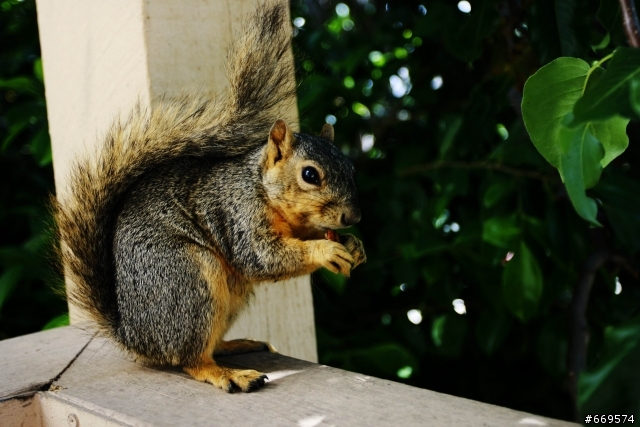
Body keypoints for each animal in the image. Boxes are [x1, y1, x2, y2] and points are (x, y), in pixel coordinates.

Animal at [53, 2, 366, 393]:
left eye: (351, 167)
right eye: (310, 175)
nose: (353, 218)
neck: (261, 188)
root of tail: (135, 337)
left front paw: (354, 245)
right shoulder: (238, 214)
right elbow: (263, 257)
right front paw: (326, 251)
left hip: (228, 296)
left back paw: (236, 345)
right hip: (189, 280)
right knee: (190, 358)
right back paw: (226, 373)